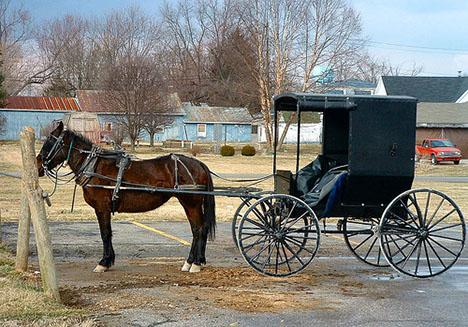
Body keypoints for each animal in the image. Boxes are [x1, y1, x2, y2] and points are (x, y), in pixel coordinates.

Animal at [36, 121, 216, 272]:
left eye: (50, 141)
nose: (37, 165)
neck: (93, 165)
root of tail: (198, 163)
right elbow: (108, 233)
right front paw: (109, 261)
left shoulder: (101, 208)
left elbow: (105, 233)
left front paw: (103, 262)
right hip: (187, 204)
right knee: (196, 230)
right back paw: (191, 261)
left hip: (191, 203)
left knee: (200, 229)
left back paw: (196, 263)